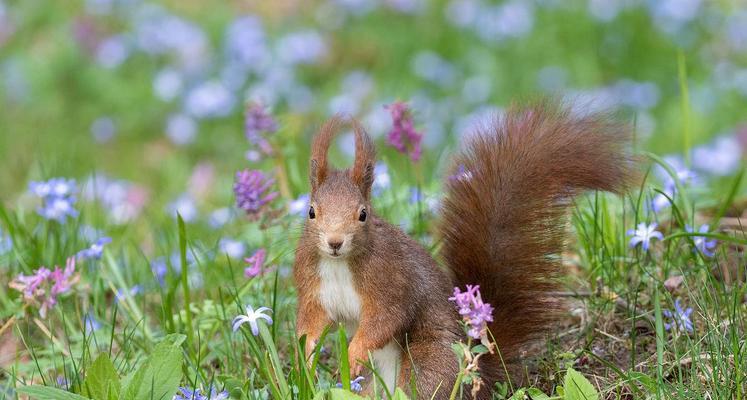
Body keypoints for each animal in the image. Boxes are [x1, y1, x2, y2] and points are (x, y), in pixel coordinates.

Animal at [296, 102, 636, 396]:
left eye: (363, 214)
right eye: (311, 211)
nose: (335, 242)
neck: (340, 263)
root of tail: (479, 372)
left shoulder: (391, 280)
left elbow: (386, 318)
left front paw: (354, 352)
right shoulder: (313, 287)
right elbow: (312, 323)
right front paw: (307, 356)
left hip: (430, 365)